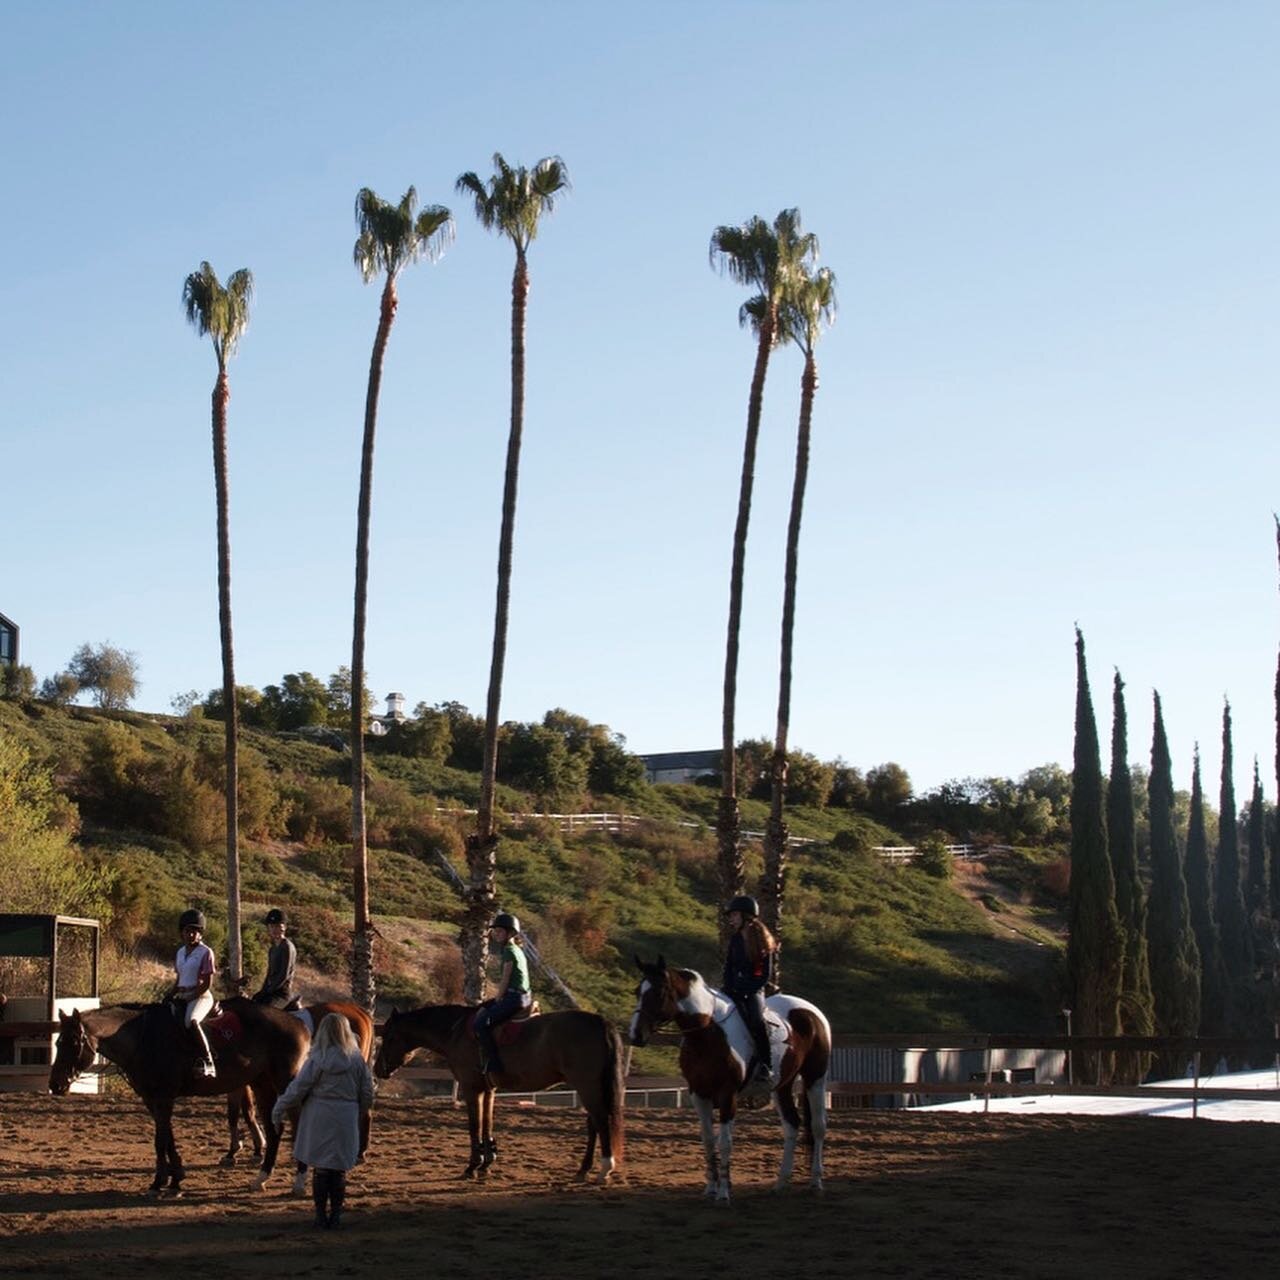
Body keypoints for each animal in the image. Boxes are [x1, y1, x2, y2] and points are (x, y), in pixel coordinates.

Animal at [50, 998, 312, 1198]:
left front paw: (159, 1183)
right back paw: (262, 1178)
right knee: (274, 1129)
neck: (143, 1038)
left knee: (298, 1123)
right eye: (58, 1042)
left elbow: (160, 1140)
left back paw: (298, 1182)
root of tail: (298, 1022)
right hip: (262, 1084)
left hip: (285, 1082)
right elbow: (167, 1139)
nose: (55, 1085)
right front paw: (174, 1179)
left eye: (73, 1042)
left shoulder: (164, 1097)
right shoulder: (151, 1099)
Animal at [373, 1003, 627, 1182]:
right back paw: (583, 1169)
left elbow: (475, 1125)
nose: (377, 1069)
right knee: (594, 1124)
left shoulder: (471, 1088)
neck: (455, 1031)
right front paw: (487, 1162)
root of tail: (600, 1021)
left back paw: (604, 1168)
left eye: (388, 1037)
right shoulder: (489, 1090)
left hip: (587, 1085)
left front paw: (472, 1166)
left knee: (600, 1121)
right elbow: (488, 1123)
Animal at [627, 957, 829, 1203]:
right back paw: (781, 1183)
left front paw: (723, 1193)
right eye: (638, 991)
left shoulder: (727, 1094)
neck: (707, 1032)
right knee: (791, 1124)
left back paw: (816, 1182)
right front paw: (711, 1188)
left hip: (815, 1078)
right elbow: (708, 1140)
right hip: (782, 1085)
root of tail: (811, 1010)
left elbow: (725, 1143)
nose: (635, 1035)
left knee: (818, 1126)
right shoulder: (698, 1094)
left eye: (659, 992)